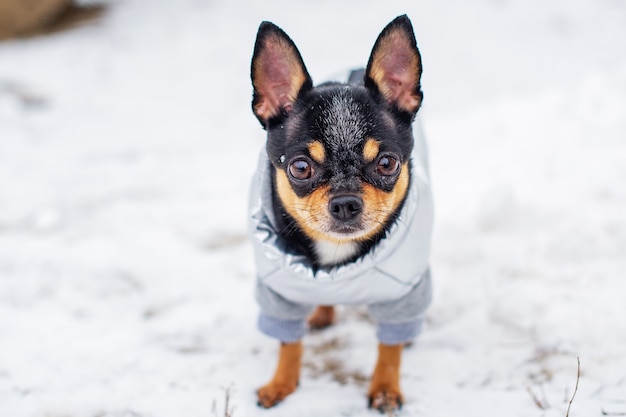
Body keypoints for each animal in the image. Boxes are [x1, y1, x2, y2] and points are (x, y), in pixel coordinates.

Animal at [246, 14, 432, 412]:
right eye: (300, 168)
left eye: (387, 163)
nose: (345, 202)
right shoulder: (280, 291)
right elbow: (288, 342)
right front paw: (281, 383)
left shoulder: (403, 290)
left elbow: (389, 348)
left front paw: (385, 388)